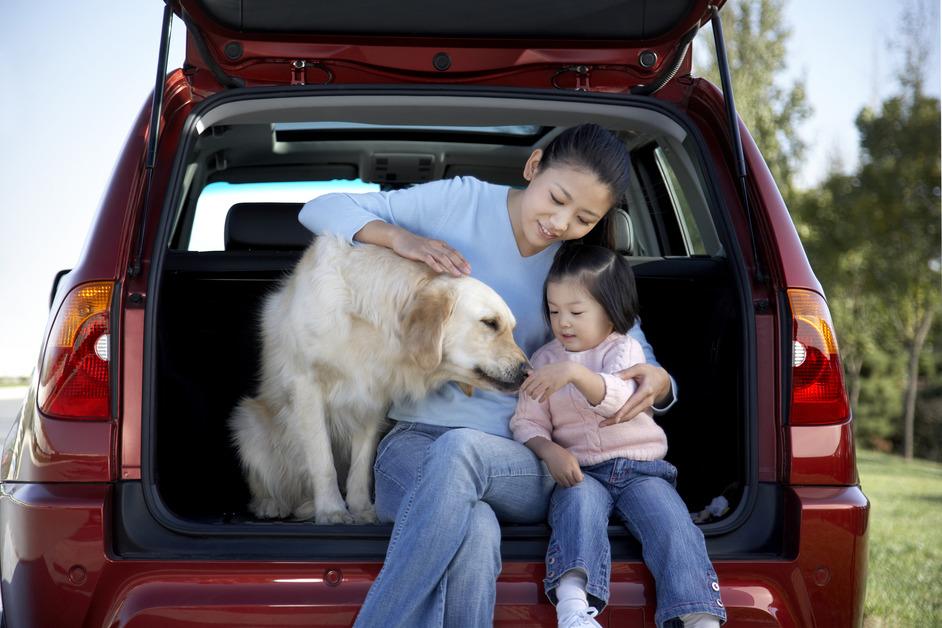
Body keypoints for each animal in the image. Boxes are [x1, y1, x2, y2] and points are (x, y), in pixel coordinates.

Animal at [231, 236, 532, 524]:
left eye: (511, 328)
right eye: (490, 323)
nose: (528, 371)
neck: (369, 323)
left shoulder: (373, 398)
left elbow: (361, 465)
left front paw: (362, 509)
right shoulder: (306, 386)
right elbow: (322, 460)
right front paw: (331, 510)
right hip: (248, 422)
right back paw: (272, 504)